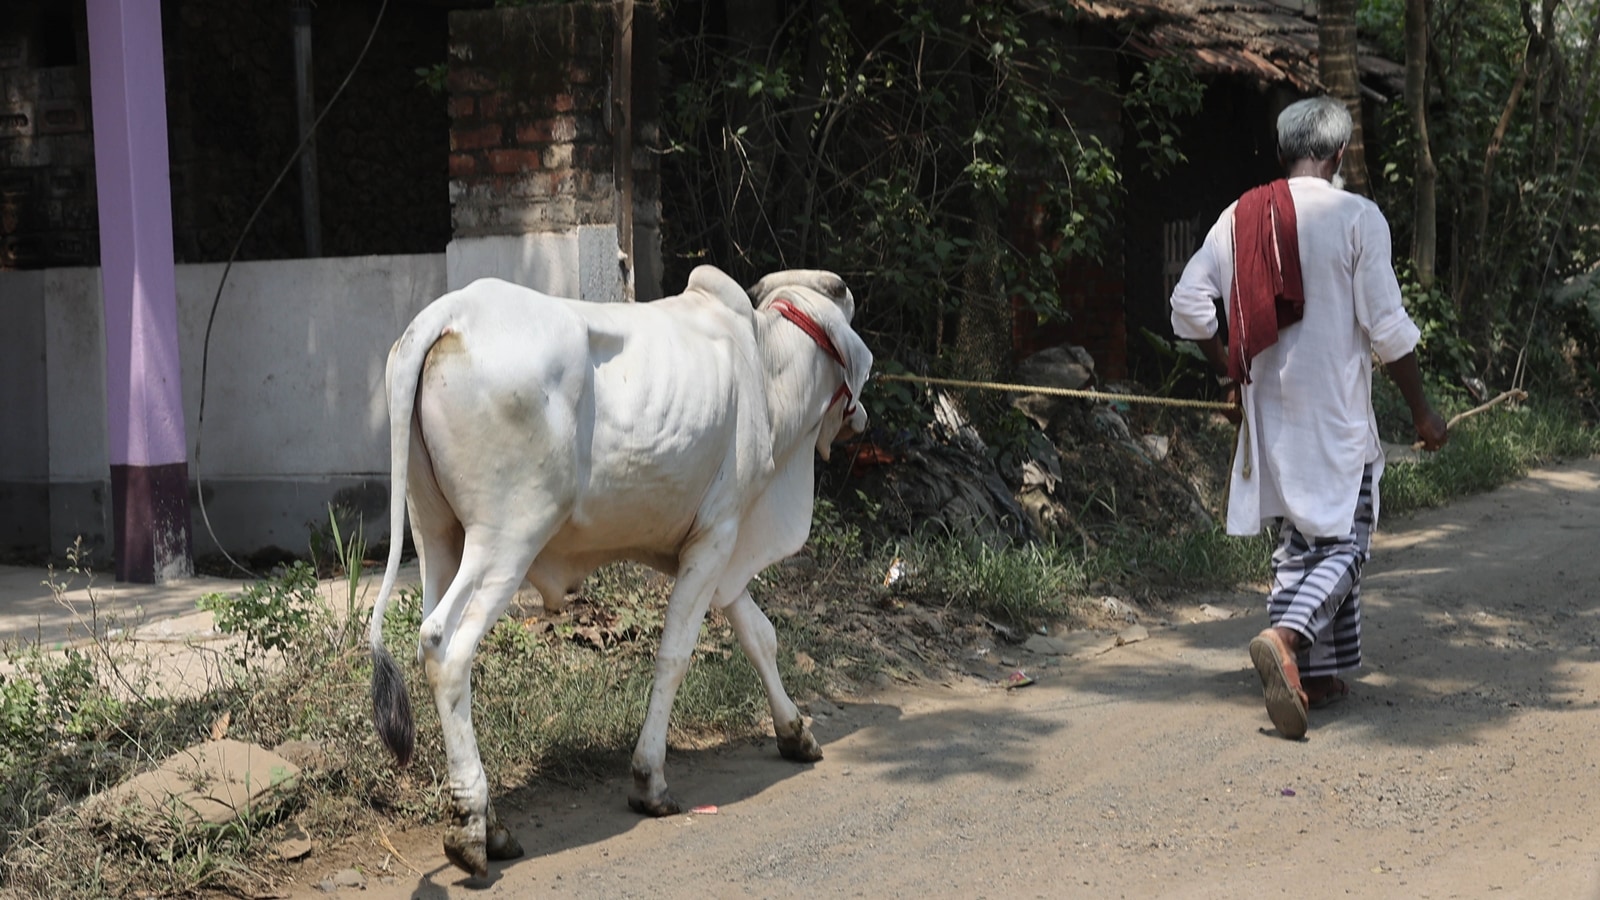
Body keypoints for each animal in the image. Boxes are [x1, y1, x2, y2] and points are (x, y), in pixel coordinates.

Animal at [366, 265, 873, 877]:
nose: (861, 420)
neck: (768, 370)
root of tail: (450, 313)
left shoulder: (718, 549)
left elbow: (760, 636)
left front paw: (795, 732)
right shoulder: (718, 535)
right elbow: (676, 655)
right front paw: (649, 781)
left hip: (436, 534)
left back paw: (492, 824)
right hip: (507, 537)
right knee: (444, 646)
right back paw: (470, 830)